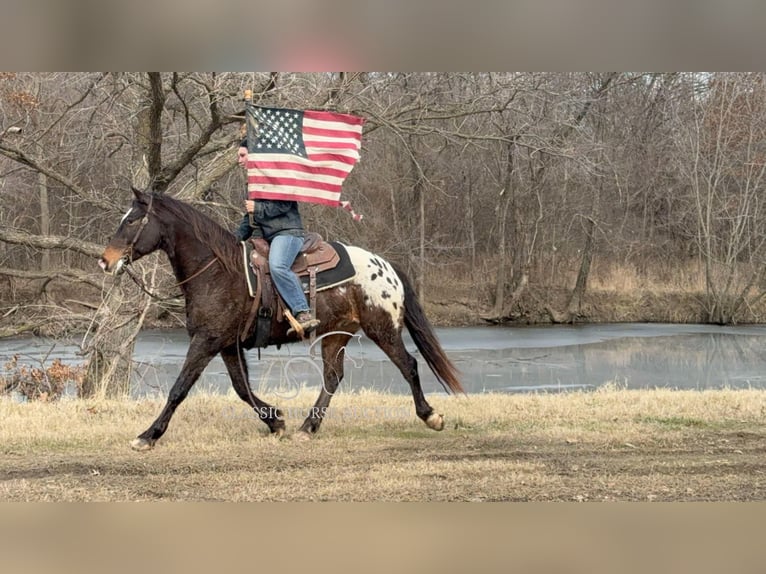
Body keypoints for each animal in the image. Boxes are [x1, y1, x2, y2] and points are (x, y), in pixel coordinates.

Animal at [99, 191, 464, 452]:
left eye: (132, 221)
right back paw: (307, 428)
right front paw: (276, 421)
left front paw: (148, 436)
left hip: (383, 329)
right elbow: (242, 389)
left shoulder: (206, 341)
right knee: (332, 377)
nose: (105, 261)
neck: (219, 271)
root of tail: (385, 265)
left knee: (408, 365)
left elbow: (179, 389)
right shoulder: (227, 344)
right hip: (336, 334)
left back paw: (431, 416)